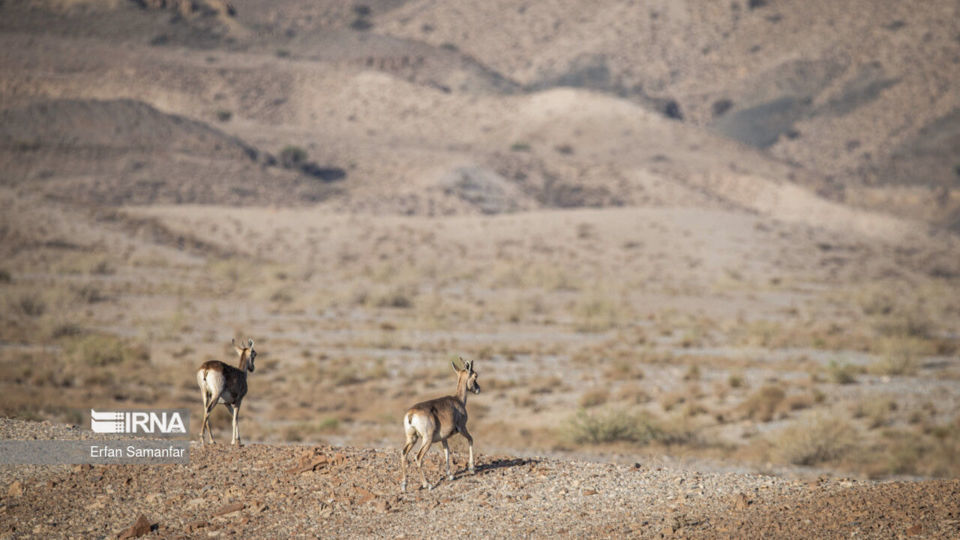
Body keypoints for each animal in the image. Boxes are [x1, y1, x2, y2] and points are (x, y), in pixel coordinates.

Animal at [398, 356, 480, 492]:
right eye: (475, 375)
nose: (478, 389)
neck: (457, 400)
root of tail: (411, 414)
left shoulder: (444, 438)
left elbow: (447, 452)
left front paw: (450, 475)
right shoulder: (462, 428)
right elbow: (471, 440)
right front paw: (472, 469)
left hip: (412, 438)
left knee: (404, 454)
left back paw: (404, 485)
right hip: (427, 440)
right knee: (418, 457)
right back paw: (427, 485)